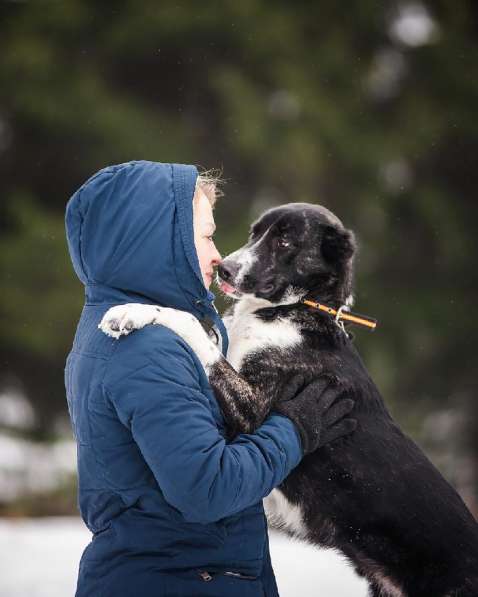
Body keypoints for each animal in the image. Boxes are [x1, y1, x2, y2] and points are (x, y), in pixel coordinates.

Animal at [100, 203, 478, 592]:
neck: (293, 309)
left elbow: (192, 325)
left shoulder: (251, 410)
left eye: (284, 241)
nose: (225, 268)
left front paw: (130, 311)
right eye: (254, 233)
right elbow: (206, 332)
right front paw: (135, 310)